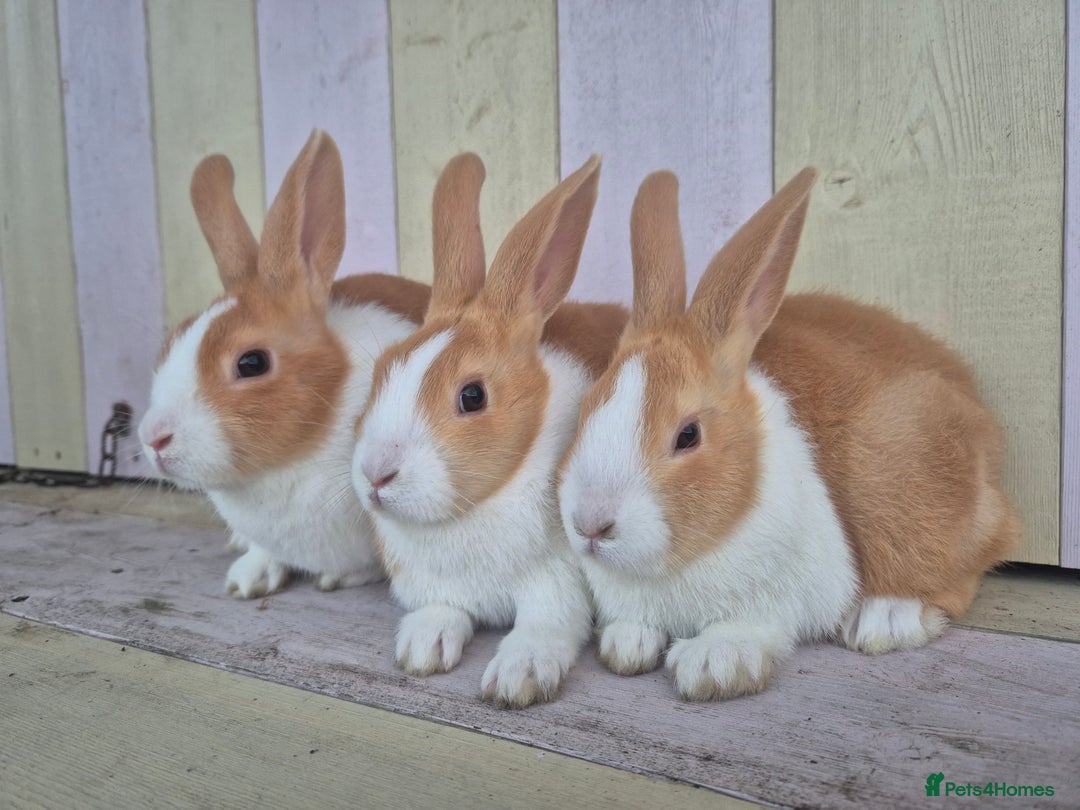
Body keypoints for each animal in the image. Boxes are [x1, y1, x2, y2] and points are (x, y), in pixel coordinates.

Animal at [351, 152, 628, 708]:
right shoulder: (434, 587)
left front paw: (516, 678)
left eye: (472, 396)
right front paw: (422, 650)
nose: (375, 475)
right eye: (382, 369)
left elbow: (543, 627)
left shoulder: (556, 583)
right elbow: (441, 612)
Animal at [557, 168, 1020, 701]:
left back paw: (884, 618)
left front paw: (713, 665)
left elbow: (750, 628)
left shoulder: (780, 595)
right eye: (586, 408)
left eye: (688, 435)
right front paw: (627, 645)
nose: (591, 525)